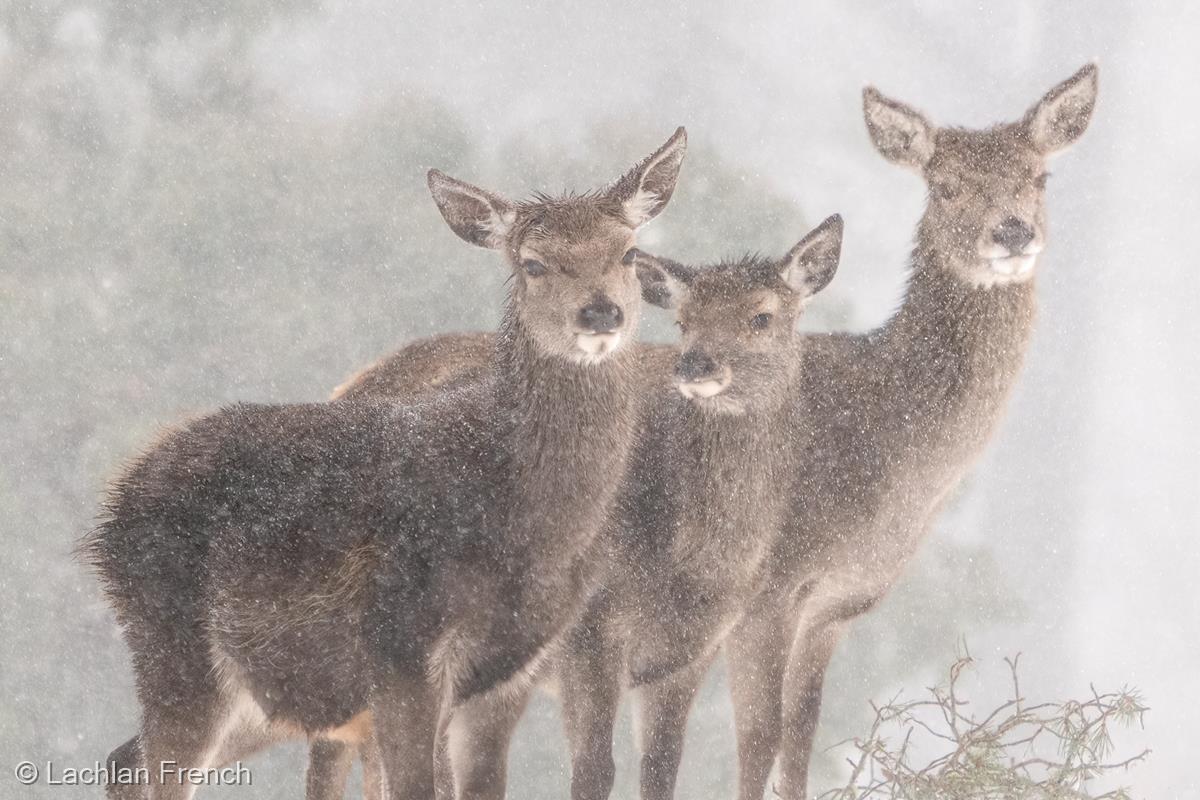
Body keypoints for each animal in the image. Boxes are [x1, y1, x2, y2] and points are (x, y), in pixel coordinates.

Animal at [82, 128, 686, 796]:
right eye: (532, 262)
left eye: (628, 252)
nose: (600, 312)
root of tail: (113, 506)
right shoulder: (400, 642)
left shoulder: (488, 670)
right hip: (174, 641)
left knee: (127, 758)